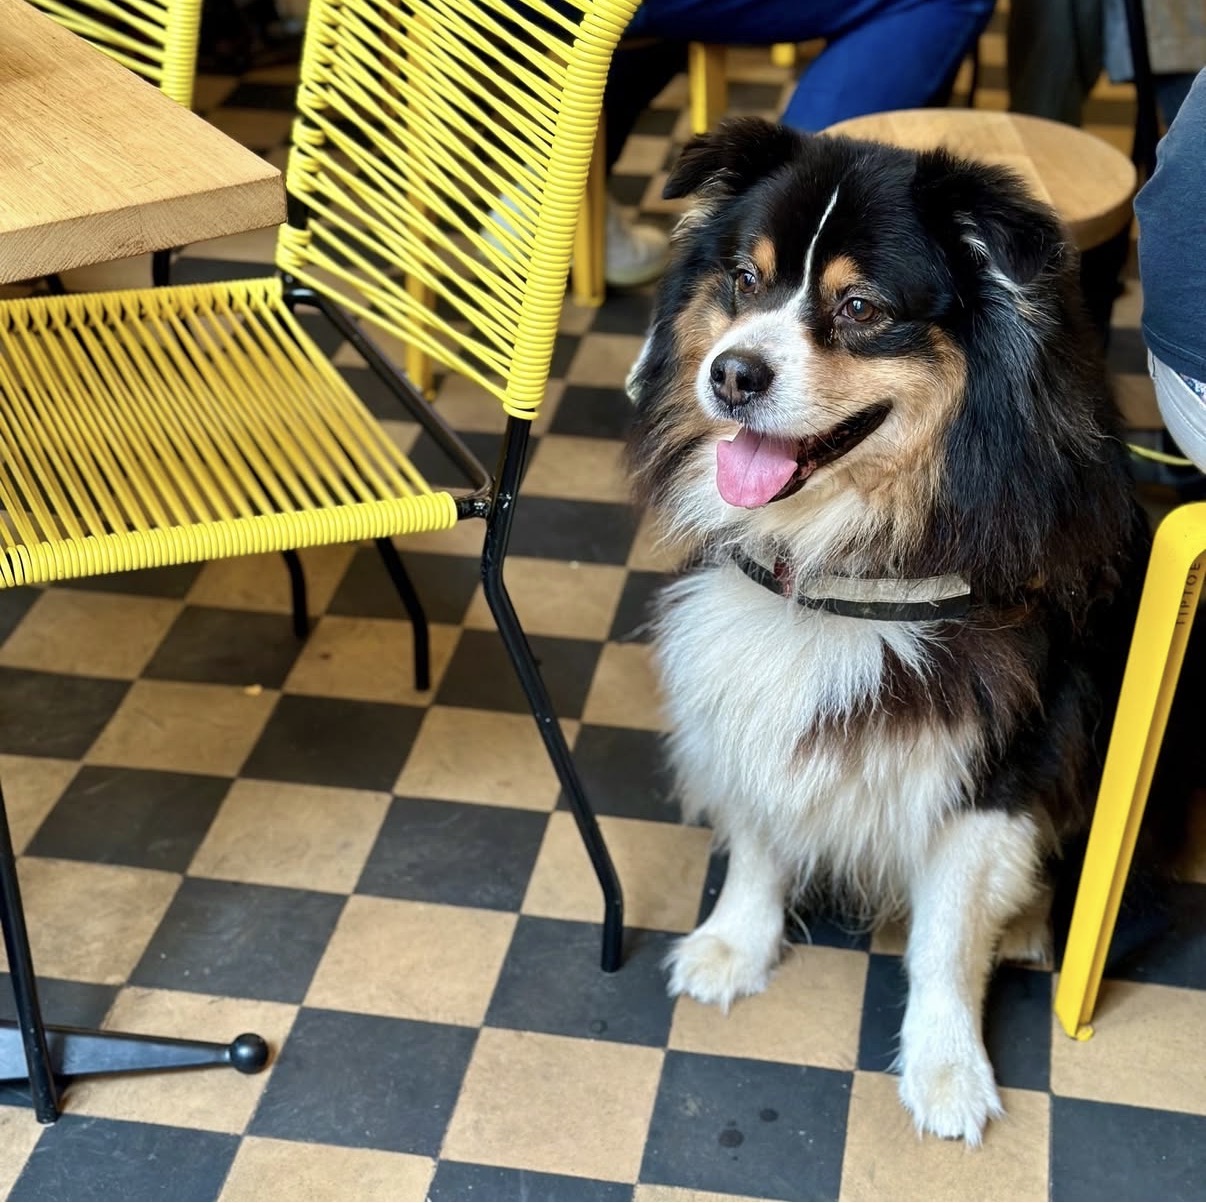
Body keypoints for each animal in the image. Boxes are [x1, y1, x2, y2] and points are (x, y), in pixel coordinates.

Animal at [624, 118, 1148, 1145]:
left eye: (861, 306)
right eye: (744, 280)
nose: (730, 373)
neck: (836, 561)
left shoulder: (1003, 751)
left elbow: (947, 936)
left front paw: (948, 1069)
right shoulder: (743, 677)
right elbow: (759, 828)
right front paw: (735, 945)